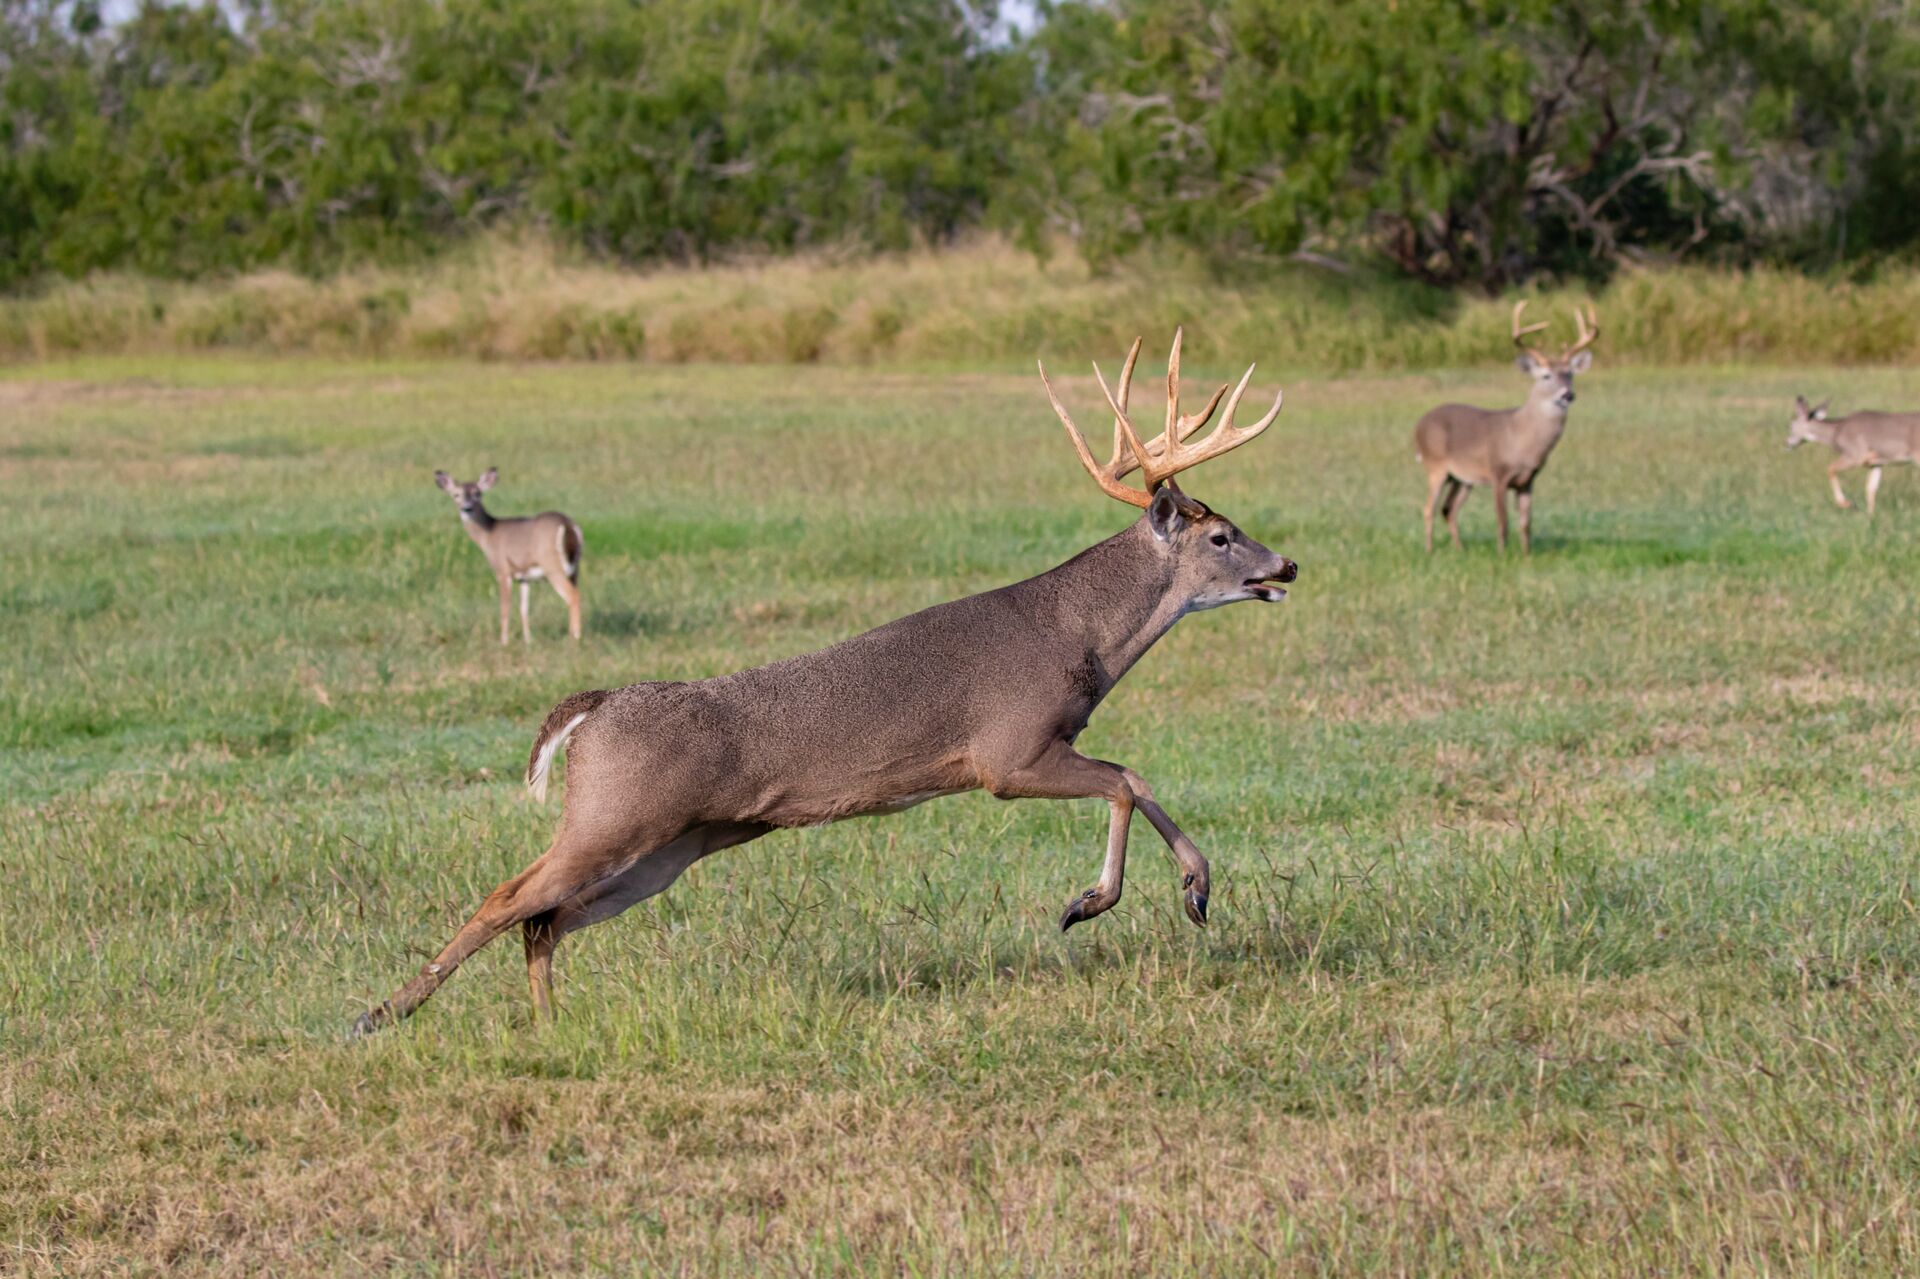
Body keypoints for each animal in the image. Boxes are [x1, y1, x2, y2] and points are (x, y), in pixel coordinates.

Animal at [355, 328, 1297, 1029]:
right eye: (1221, 536)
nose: (1285, 563)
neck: (1083, 636)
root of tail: (592, 709)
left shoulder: (1046, 745)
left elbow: (1135, 777)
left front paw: (1196, 891)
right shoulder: (1008, 751)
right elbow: (1125, 780)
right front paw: (1091, 901)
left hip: (669, 848)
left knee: (544, 918)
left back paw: (548, 1022)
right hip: (612, 815)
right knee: (506, 897)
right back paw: (381, 1012)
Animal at [1413, 305, 1605, 556]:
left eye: (1570, 373)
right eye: (1546, 375)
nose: (1567, 395)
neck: (1522, 439)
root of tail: (1418, 425)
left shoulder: (1528, 479)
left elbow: (1525, 523)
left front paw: (1526, 555)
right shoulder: (1498, 473)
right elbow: (1502, 520)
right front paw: (1502, 554)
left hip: (1462, 478)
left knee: (1449, 508)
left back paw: (1460, 549)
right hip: (1435, 466)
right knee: (1429, 508)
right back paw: (1429, 550)